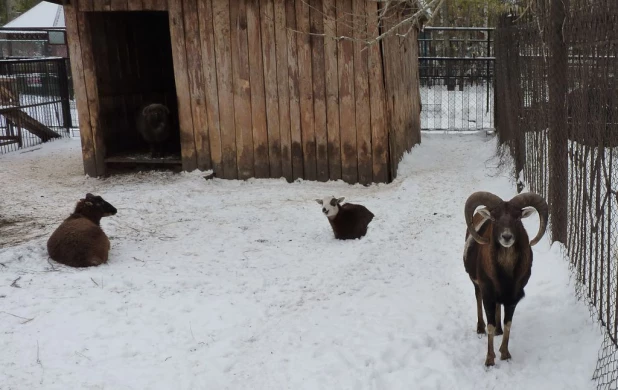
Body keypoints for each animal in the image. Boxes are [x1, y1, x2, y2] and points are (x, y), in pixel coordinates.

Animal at [460, 190, 548, 368]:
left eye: (517, 218)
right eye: (495, 219)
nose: (506, 237)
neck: (506, 274)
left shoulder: (512, 297)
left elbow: (508, 325)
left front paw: (505, 354)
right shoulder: (487, 294)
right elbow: (490, 326)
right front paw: (489, 360)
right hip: (477, 286)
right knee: (478, 298)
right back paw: (480, 328)